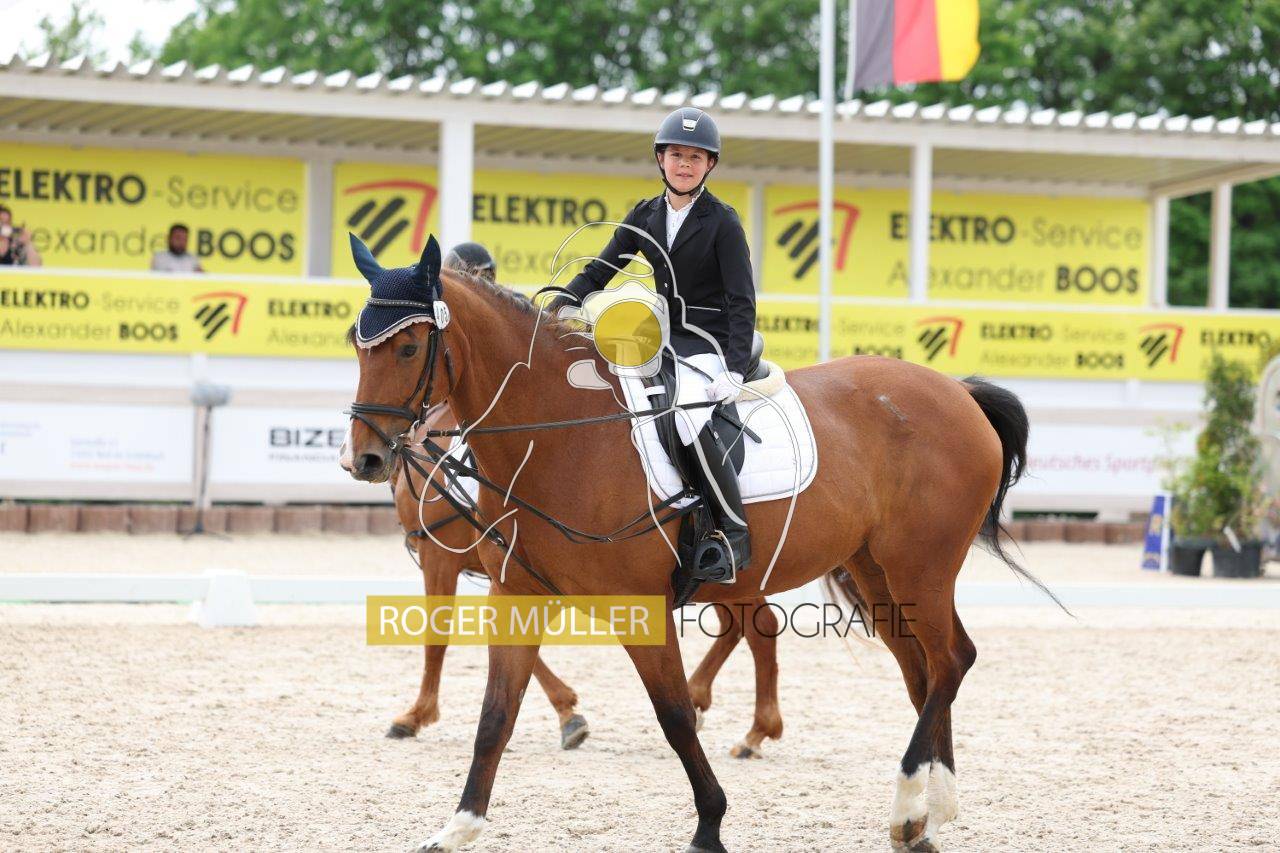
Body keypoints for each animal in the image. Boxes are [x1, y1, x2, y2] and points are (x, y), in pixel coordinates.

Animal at [375, 405, 786, 759]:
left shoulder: (440, 559)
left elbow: (437, 637)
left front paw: (415, 715)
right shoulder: (523, 580)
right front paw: (569, 715)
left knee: (757, 627)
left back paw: (747, 726)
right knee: (746, 627)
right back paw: (725, 713)